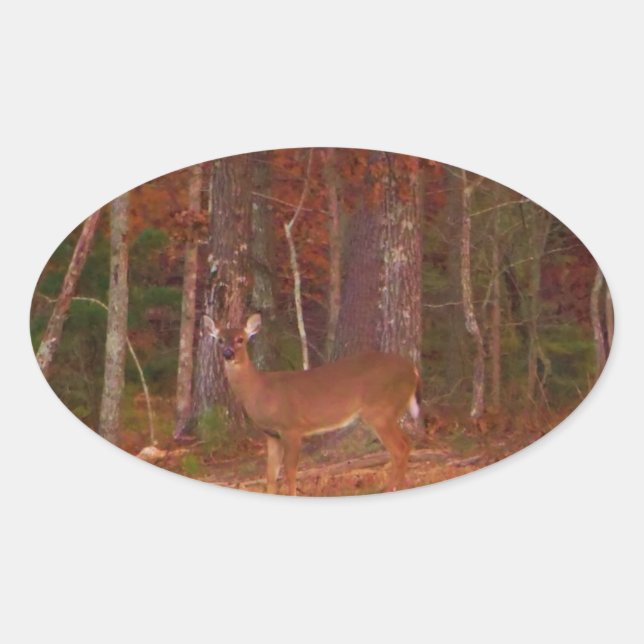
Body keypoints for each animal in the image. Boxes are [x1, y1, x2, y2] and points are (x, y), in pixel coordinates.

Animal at [203, 313, 421, 496]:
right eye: (220, 339)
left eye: (241, 339)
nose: (228, 353)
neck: (260, 391)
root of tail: (413, 369)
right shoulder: (271, 434)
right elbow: (271, 475)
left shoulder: (292, 427)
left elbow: (290, 471)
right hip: (387, 411)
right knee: (407, 443)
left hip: (380, 410)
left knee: (399, 448)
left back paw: (390, 489)